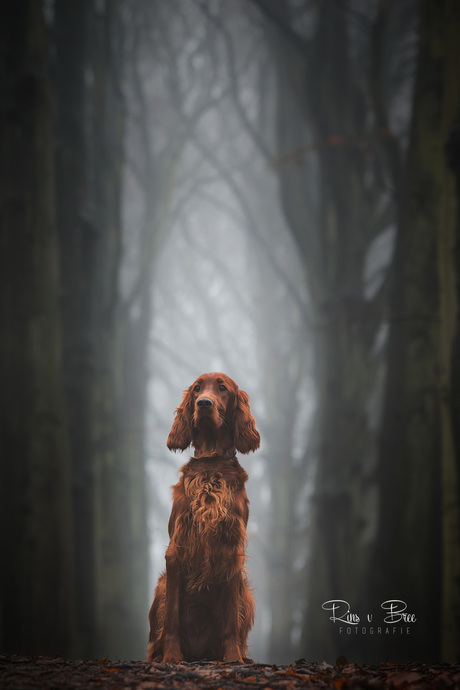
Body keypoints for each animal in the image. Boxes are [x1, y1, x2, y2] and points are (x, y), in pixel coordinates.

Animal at [149, 370, 260, 660]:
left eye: (222, 388)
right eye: (197, 389)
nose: (204, 404)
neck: (211, 462)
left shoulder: (232, 549)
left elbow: (231, 621)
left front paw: (233, 658)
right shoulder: (177, 548)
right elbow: (172, 619)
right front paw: (171, 657)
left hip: (246, 593)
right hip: (161, 587)